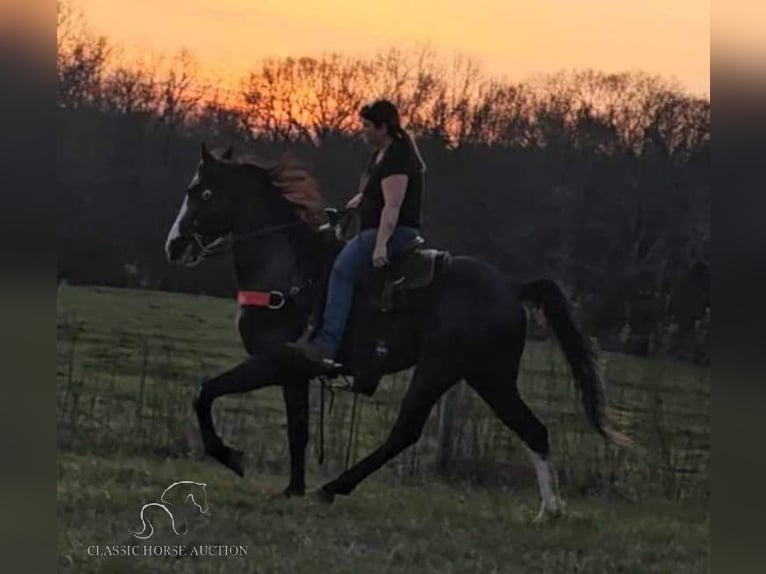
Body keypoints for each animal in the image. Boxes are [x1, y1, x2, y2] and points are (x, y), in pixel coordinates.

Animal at [164, 143, 632, 520]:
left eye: (202, 192)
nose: (174, 246)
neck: (288, 270)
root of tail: (510, 286)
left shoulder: (273, 362)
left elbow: (205, 393)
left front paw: (232, 458)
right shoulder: (294, 374)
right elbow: (298, 430)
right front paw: (292, 489)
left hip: (441, 369)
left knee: (406, 431)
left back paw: (334, 487)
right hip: (488, 376)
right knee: (532, 429)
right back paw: (549, 510)